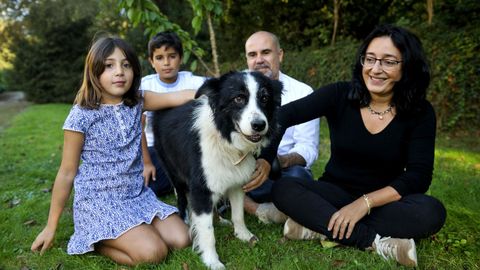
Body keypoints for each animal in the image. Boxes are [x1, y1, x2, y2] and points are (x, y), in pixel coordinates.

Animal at [153, 70, 282, 268]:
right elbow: (207, 232)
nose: (259, 125)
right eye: (238, 98)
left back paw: (219, 220)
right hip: (173, 170)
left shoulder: (236, 182)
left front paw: (244, 235)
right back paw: (186, 220)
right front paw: (212, 261)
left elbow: (238, 214)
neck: (225, 138)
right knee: (182, 197)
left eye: (265, 98)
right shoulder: (201, 188)